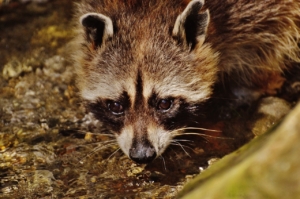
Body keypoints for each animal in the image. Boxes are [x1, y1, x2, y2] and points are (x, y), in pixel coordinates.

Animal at [73, 0, 300, 163]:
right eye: (115, 106)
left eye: (164, 103)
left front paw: (247, 85)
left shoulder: (254, 9)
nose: (142, 155)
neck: (149, 8)